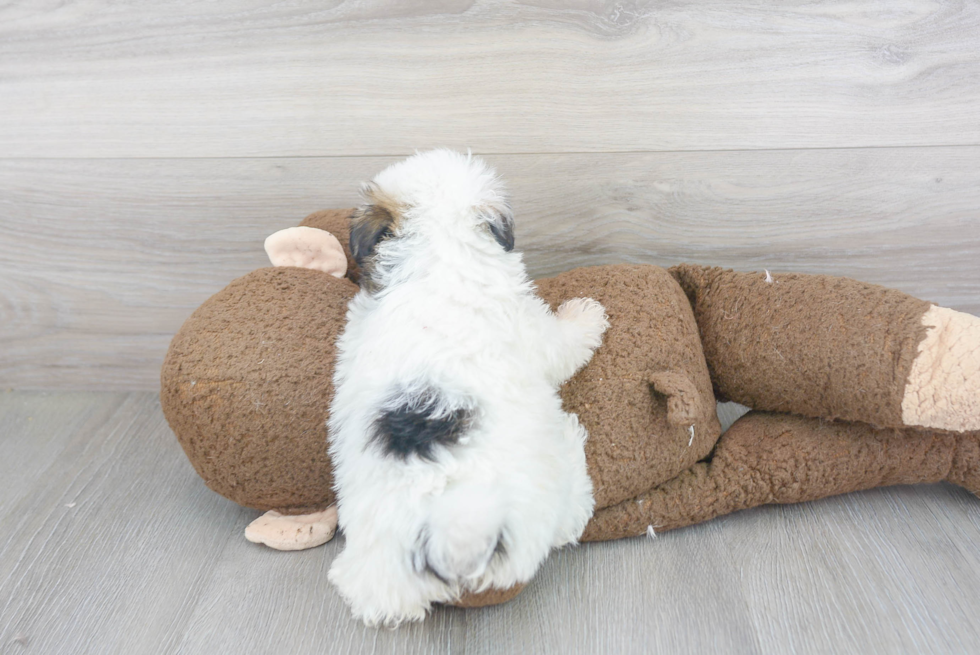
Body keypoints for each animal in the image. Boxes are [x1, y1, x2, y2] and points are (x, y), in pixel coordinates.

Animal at [326, 149, 608, 624]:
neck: (439, 251)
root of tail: (445, 535)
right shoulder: (529, 327)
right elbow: (562, 344)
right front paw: (586, 316)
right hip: (543, 499)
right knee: (567, 516)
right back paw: (572, 443)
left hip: (377, 570)